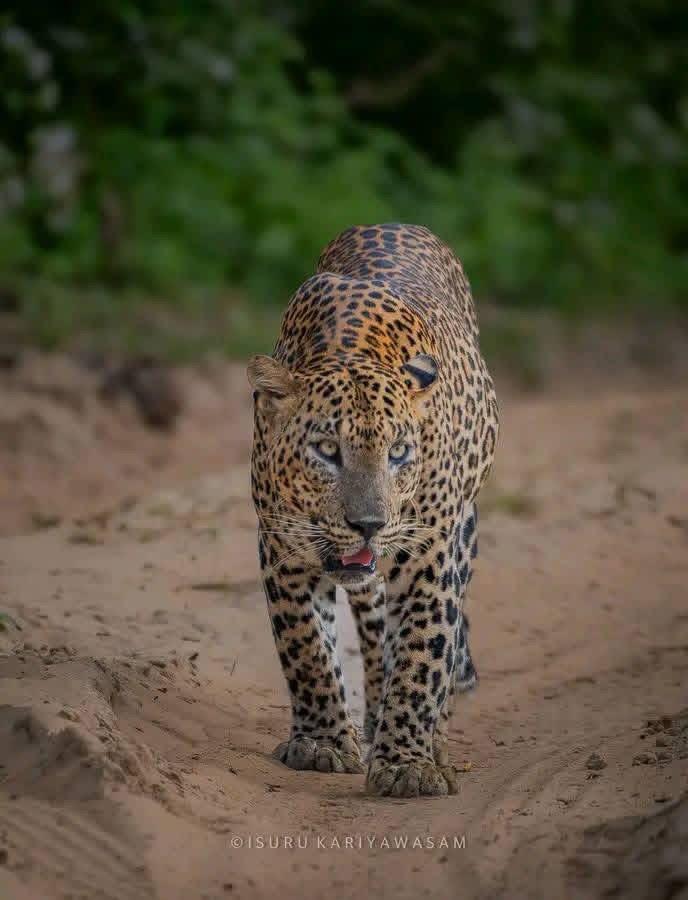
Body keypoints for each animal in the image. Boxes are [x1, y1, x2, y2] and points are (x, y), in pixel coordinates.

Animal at [247, 223, 498, 798]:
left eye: (399, 453)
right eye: (326, 451)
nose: (368, 525)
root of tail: (397, 223)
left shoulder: (430, 552)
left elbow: (423, 653)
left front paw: (407, 764)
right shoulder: (281, 545)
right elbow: (306, 648)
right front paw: (321, 743)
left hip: (463, 532)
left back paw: (430, 741)